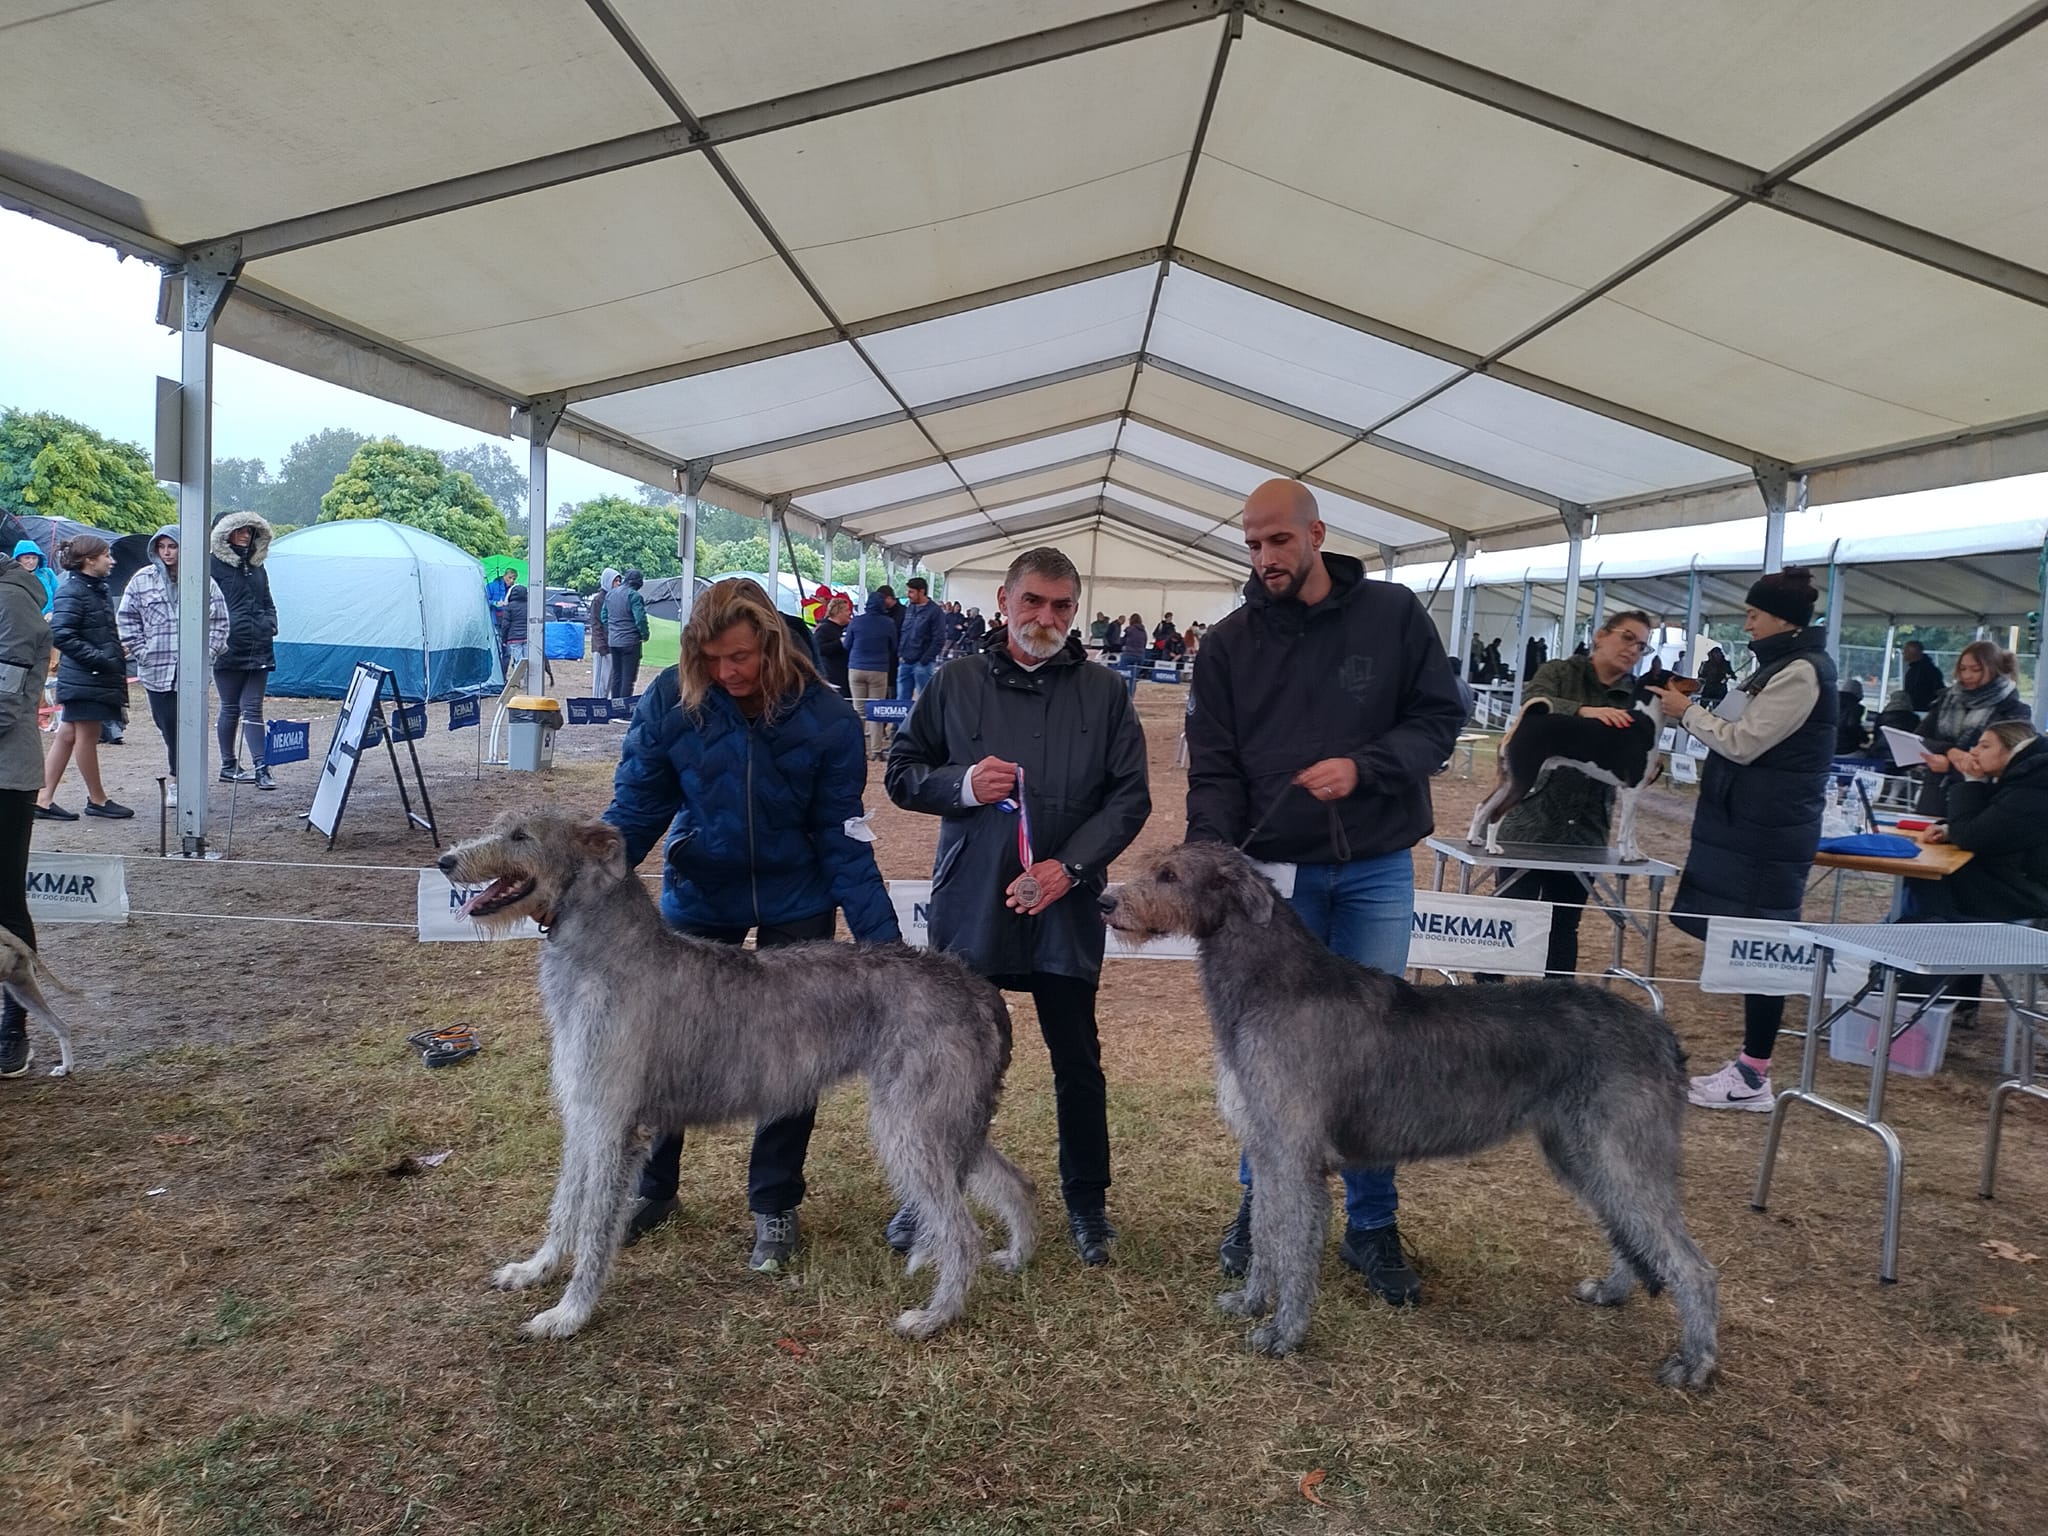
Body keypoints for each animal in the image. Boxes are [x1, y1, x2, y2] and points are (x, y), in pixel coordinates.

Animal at [440, 811, 1035, 1341]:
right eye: (500, 827)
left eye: (521, 835)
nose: (446, 861)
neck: (605, 951)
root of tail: (975, 986)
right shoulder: (584, 1113)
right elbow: (566, 1203)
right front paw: (534, 1271)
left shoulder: (615, 1124)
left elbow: (592, 1225)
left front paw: (568, 1314)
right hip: (948, 1119)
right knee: (1014, 1182)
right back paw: (1017, 1254)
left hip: (911, 1123)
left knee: (961, 1233)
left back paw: (936, 1317)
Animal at [1101, 842, 1719, 1390]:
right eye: (1151, 866)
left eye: (1169, 875)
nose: (1105, 900)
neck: (1272, 985)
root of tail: (1661, 1032)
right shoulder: (1269, 1153)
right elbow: (1266, 1236)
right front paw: (1252, 1302)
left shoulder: (1296, 1160)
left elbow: (1294, 1247)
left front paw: (1284, 1333)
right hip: (1581, 1154)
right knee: (1628, 1228)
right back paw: (1615, 1291)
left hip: (1619, 1152)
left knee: (1692, 1264)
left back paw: (1695, 1363)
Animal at [1467, 678, 1698, 861]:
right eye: (1677, 677)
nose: (1700, 679)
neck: (1646, 723)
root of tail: (1528, 720)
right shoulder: (1631, 789)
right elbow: (1624, 832)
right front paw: (1627, 856)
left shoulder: (1635, 792)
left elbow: (1632, 829)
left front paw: (1636, 854)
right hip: (1523, 780)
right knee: (1496, 812)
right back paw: (1492, 847)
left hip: (1507, 779)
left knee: (1483, 806)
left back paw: (1474, 839)